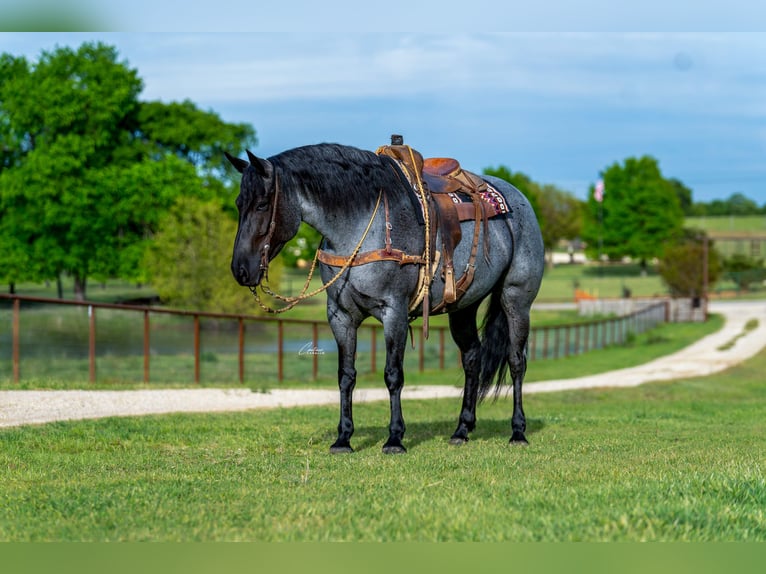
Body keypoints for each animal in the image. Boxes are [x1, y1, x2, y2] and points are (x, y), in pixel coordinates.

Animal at [226, 143, 544, 453]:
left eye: (262, 204)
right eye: (239, 204)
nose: (240, 269)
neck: (363, 225)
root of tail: (519, 200)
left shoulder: (394, 312)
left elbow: (393, 374)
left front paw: (394, 439)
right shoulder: (340, 316)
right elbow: (346, 375)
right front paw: (343, 438)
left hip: (516, 300)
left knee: (517, 361)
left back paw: (518, 432)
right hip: (463, 307)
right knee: (472, 359)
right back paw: (462, 430)